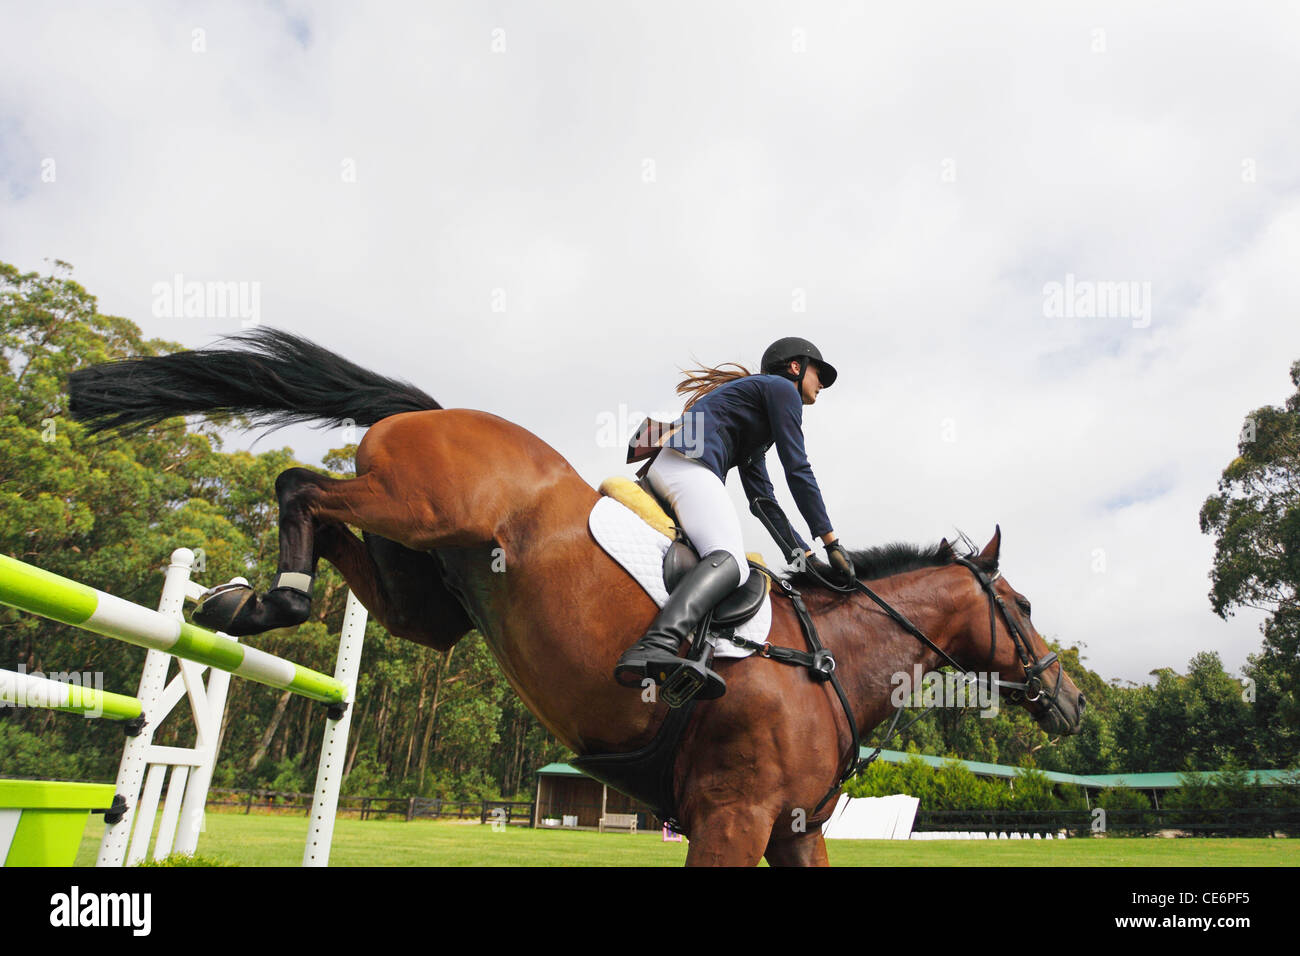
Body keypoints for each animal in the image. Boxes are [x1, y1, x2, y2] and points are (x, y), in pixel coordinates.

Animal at [71, 330, 1086, 868]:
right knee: (299, 486)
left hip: (425, 592)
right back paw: (266, 602)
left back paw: (247, 607)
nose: (1073, 701)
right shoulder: (732, 816)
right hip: (417, 503)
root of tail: (433, 411)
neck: (828, 663)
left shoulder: (793, 832)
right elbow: (791, 471)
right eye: (1025, 605)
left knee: (349, 553)